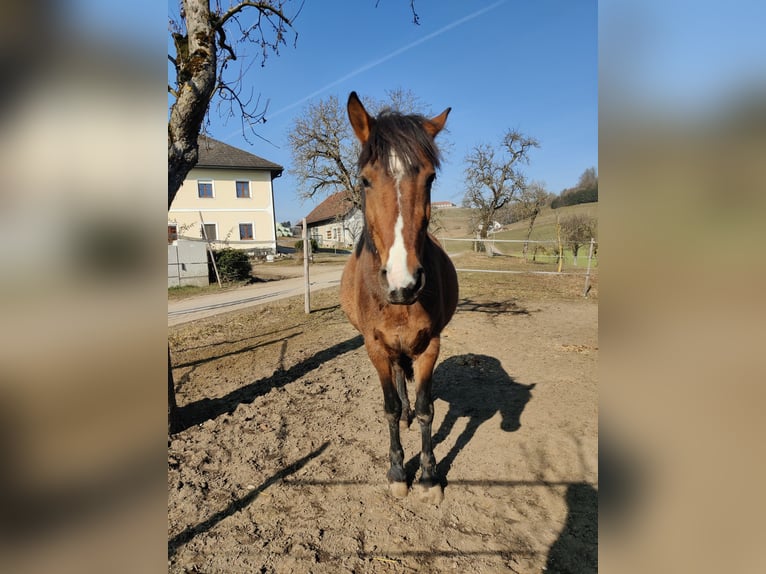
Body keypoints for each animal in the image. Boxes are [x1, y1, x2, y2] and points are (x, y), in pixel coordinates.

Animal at [340, 92, 458, 503]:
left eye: (431, 177)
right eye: (365, 180)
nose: (403, 282)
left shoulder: (429, 345)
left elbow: (426, 410)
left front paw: (428, 476)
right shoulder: (375, 346)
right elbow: (390, 408)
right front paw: (396, 472)